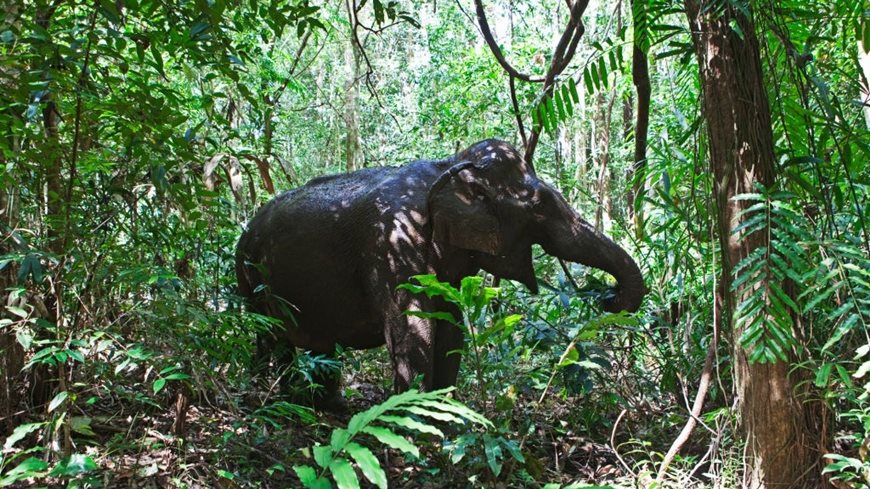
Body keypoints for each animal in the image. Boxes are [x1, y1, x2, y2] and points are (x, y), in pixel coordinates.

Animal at [235, 138, 644, 408]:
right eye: (540, 206)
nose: (608, 296)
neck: (447, 165)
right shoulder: (393, 242)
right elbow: (414, 328)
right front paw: (408, 419)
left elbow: (451, 327)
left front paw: (445, 415)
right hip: (251, 274)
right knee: (271, 334)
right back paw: (275, 400)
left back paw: (323, 407)